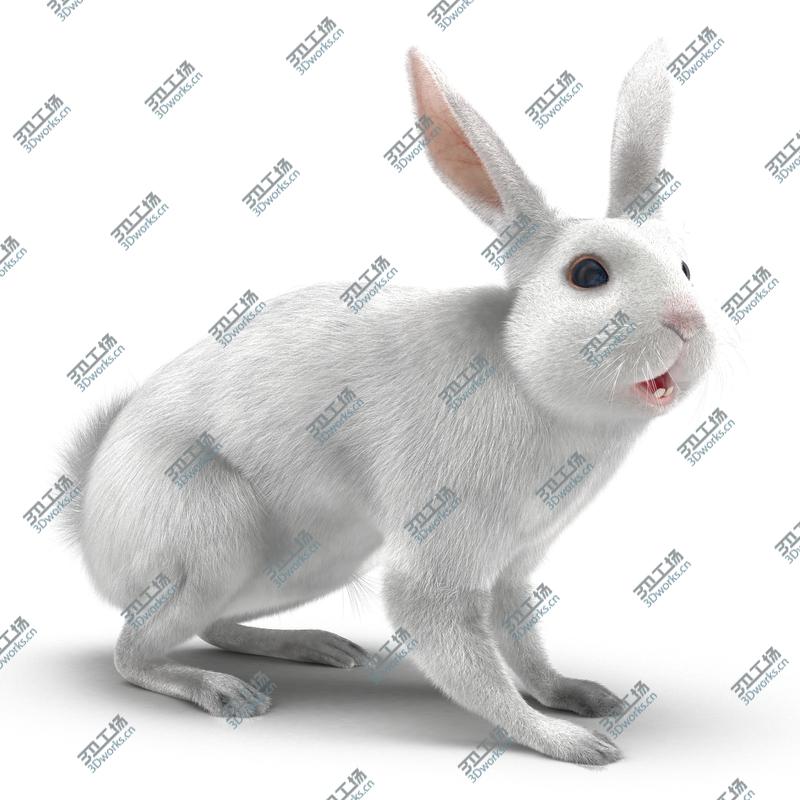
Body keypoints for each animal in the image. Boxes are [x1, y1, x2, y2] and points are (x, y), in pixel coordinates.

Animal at [60, 40, 715, 766]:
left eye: (687, 268)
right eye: (588, 274)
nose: (690, 325)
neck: (527, 380)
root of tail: (89, 527)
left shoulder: (515, 564)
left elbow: (523, 642)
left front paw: (578, 696)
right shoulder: (442, 547)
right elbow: (464, 654)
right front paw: (570, 744)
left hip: (316, 559)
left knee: (215, 624)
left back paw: (312, 645)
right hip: (215, 532)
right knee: (134, 650)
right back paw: (223, 691)